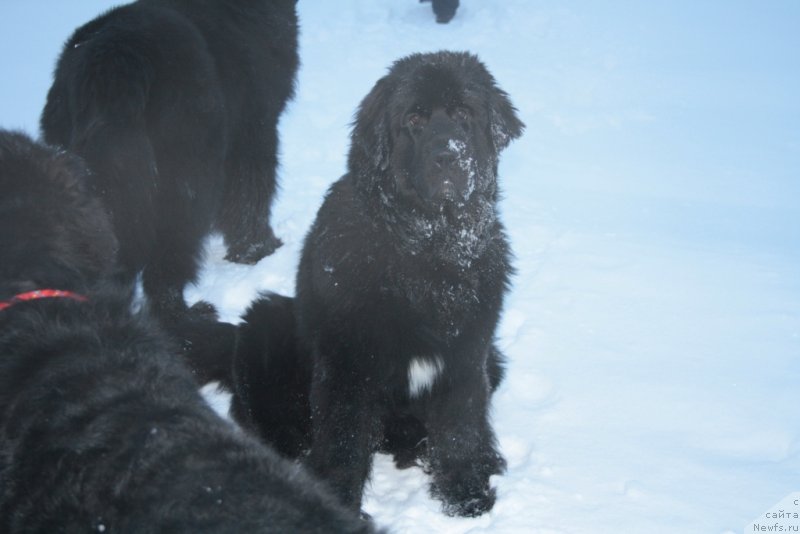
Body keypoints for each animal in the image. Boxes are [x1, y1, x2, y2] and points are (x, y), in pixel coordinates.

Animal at [39, 0, 300, 324]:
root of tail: (113, 64)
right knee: (167, 263)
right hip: (185, 181)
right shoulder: (254, 130)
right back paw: (187, 315)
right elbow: (251, 197)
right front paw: (260, 251)